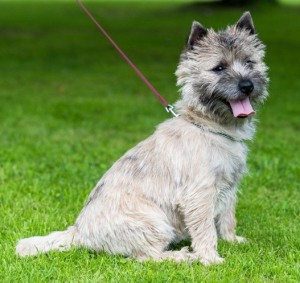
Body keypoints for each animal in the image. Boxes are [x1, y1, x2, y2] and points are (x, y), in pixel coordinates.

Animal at [15, 11, 270, 266]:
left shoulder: (229, 186)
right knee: (146, 257)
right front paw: (210, 258)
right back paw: (182, 256)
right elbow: (204, 228)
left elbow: (227, 215)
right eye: (219, 68)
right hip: (153, 220)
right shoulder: (199, 193)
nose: (247, 85)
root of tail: (80, 232)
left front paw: (232, 240)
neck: (208, 127)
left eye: (249, 62)